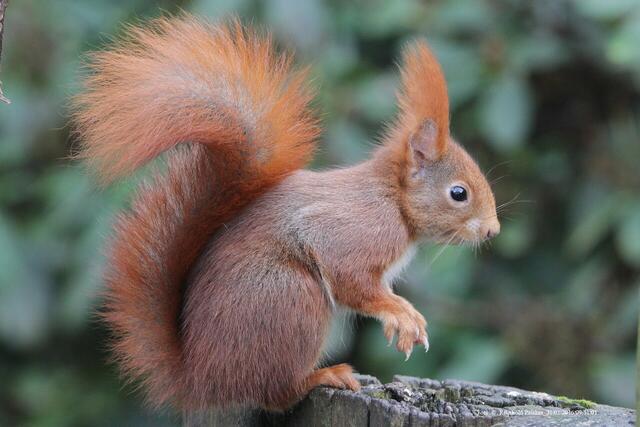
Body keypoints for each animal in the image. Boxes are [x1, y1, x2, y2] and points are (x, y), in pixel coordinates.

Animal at [71, 15, 500, 411]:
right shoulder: (356, 229)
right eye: (458, 193)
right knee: (276, 393)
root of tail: (201, 379)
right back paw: (322, 376)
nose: (493, 231)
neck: (392, 198)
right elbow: (352, 279)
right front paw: (402, 313)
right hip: (291, 298)